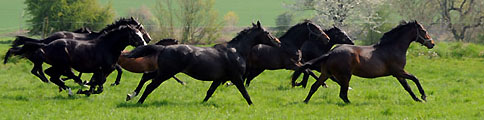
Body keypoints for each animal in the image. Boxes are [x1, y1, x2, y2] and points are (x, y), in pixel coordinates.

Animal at [16, 24, 147, 95]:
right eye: (135, 34)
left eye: (141, 33)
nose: (145, 44)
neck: (107, 46)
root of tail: (46, 45)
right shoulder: (103, 69)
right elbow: (99, 84)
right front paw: (84, 89)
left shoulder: (105, 70)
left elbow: (99, 83)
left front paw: (87, 89)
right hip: (62, 65)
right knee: (54, 75)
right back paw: (70, 89)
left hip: (59, 66)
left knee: (52, 75)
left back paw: (67, 88)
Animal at [123, 21, 280, 105]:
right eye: (267, 33)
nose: (278, 42)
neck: (236, 51)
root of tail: (164, 48)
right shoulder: (236, 78)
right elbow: (245, 93)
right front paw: (252, 105)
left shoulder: (219, 79)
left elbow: (209, 92)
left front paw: (203, 103)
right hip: (165, 73)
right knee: (150, 86)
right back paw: (139, 101)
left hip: (163, 72)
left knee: (146, 77)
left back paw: (131, 95)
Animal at [292, 20, 434, 103]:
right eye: (423, 31)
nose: (432, 43)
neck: (393, 47)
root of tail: (331, 52)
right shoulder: (398, 71)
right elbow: (415, 78)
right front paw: (423, 96)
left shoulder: (398, 74)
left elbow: (407, 87)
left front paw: (417, 99)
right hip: (345, 76)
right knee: (342, 94)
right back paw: (350, 103)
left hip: (326, 74)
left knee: (314, 86)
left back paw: (305, 101)